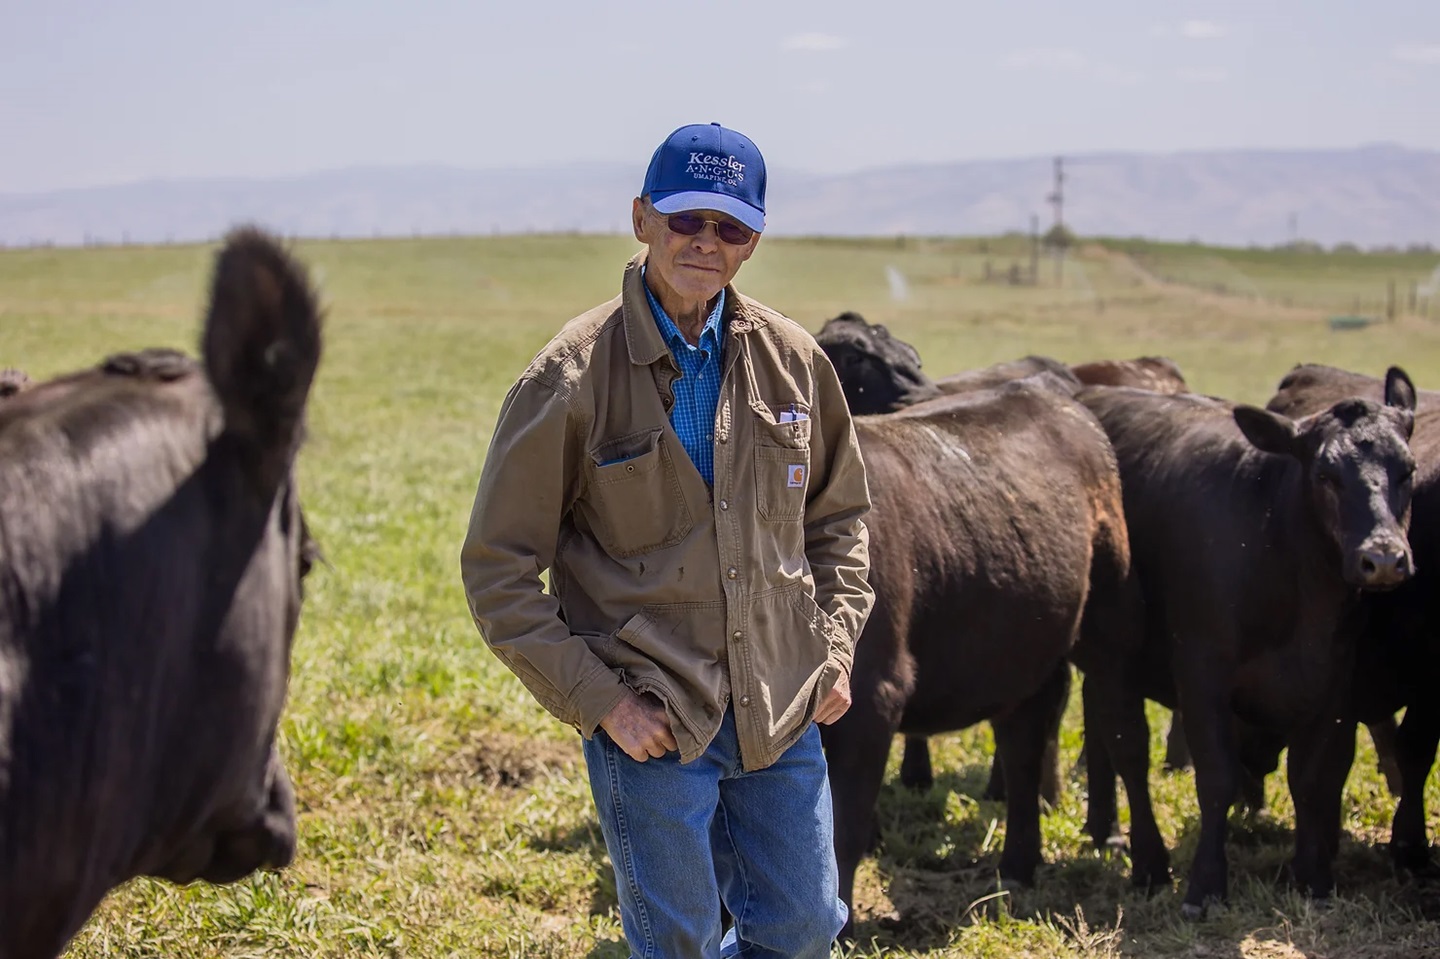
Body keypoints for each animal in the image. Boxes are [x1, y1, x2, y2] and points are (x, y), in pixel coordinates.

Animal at [823, 377, 1146, 927]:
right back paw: (1018, 863)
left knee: (1102, 730)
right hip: (1022, 652)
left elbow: (842, 831)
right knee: (1023, 742)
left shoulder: (872, 697)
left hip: (1108, 622)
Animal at [1082, 371, 1416, 910]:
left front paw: (1312, 877)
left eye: (1407, 470)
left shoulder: (1333, 687)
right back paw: (1146, 859)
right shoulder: (1201, 676)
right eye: (1325, 474)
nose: (1383, 558)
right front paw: (1205, 883)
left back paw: (1105, 828)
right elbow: (1217, 777)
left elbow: (1312, 779)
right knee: (1127, 747)